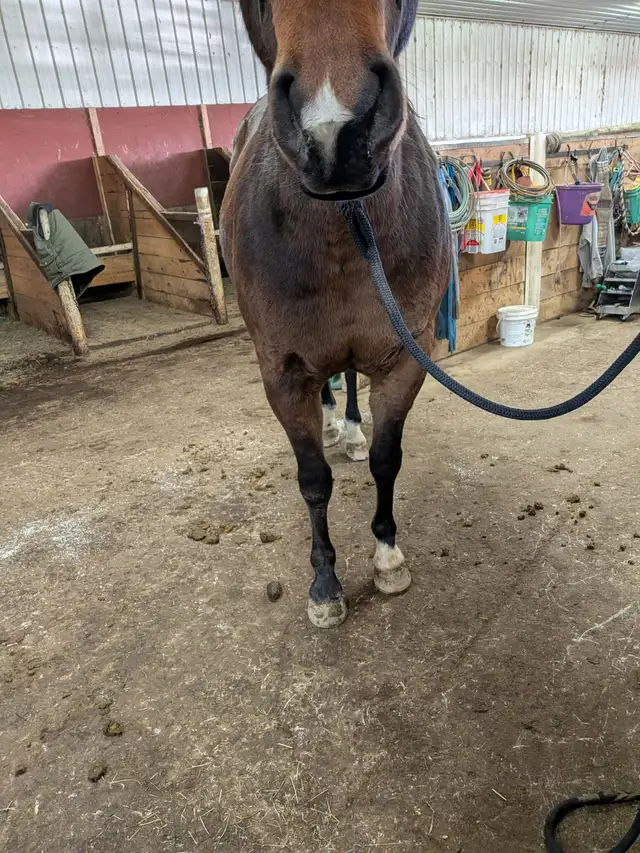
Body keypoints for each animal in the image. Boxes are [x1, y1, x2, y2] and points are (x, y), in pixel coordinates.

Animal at [221, 0, 450, 628]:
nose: (334, 131)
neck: (345, 222)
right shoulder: (282, 373)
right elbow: (313, 481)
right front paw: (324, 584)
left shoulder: (406, 358)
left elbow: (386, 460)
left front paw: (388, 556)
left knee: (346, 377)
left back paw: (346, 429)